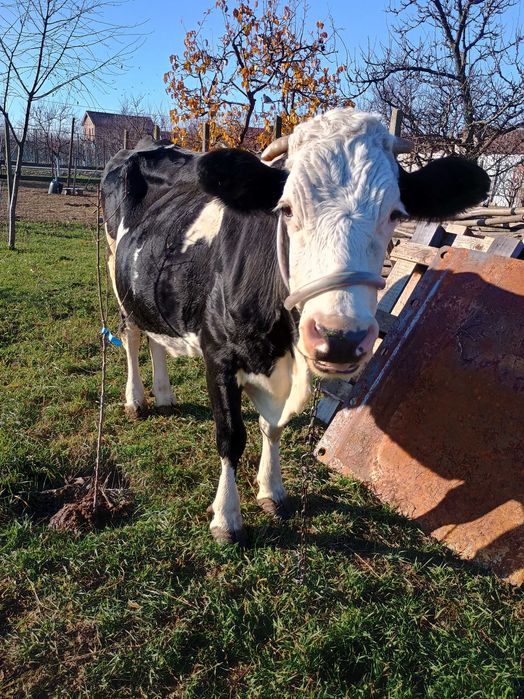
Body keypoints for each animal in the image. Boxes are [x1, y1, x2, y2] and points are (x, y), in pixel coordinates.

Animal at [101, 108, 489, 544]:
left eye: (395, 214)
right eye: (285, 209)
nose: (340, 338)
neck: (280, 348)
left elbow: (272, 427)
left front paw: (272, 490)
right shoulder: (218, 354)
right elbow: (230, 436)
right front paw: (227, 518)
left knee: (155, 335)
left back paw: (165, 395)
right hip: (116, 267)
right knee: (133, 337)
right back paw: (136, 400)